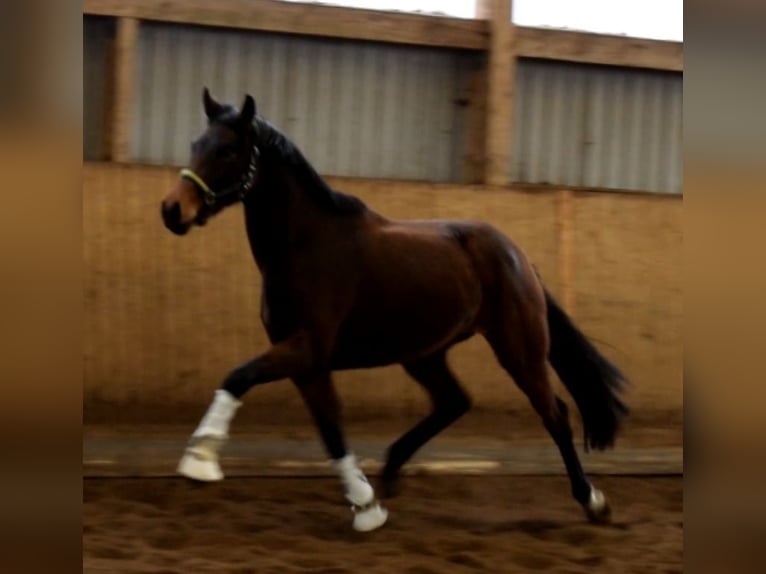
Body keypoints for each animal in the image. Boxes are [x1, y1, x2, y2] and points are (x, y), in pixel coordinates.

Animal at [159, 89, 628, 536]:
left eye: (227, 150)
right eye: (195, 143)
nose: (172, 210)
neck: (304, 246)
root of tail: (518, 256)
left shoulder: (307, 348)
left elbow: (238, 376)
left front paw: (199, 461)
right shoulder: (307, 363)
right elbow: (331, 431)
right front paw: (368, 508)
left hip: (519, 350)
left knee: (555, 414)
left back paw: (593, 501)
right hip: (424, 353)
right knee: (455, 401)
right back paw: (391, 469)